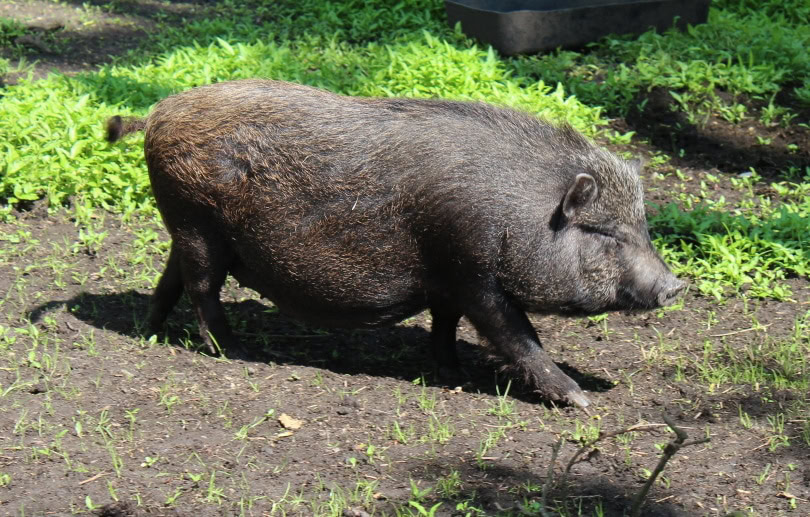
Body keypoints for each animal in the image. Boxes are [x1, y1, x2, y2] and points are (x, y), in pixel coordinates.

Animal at [106, 79, 684, 408]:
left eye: (644, 227)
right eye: (604, 232)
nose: (676, 286)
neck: (524, 214)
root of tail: (156, 113)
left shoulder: (450, 278)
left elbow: (445, 325)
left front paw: (451, 373)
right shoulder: (475, 272)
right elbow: (518, 336)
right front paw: (582, 402)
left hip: (185, 227)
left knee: (170, 278)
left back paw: (151, 332)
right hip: (197, 224)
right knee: (203, 288)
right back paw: (237, 351)